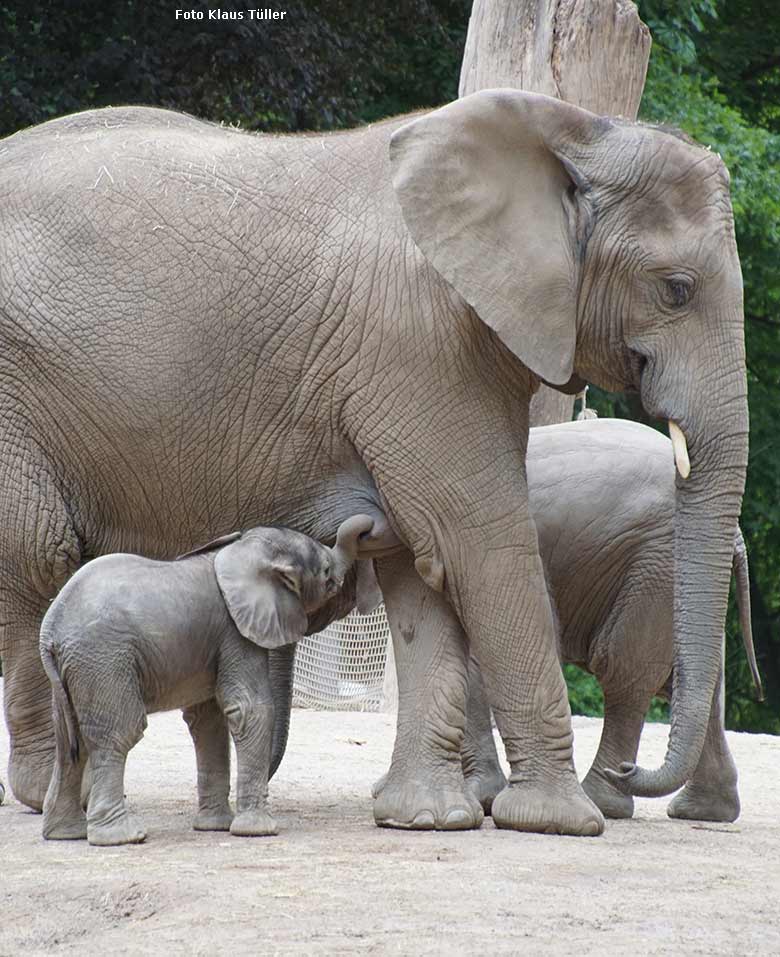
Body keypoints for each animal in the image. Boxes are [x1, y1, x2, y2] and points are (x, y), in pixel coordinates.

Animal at [39, 516, 374, 844]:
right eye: (327, 573)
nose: (369, 529)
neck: (241, 551)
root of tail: (51, 630)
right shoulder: (234, 632)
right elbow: (249, 709)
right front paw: (258, 831)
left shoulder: (213, 642)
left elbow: (208, 720)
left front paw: (215, 827)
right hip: (105, 659)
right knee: (119, 733)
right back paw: (123, 836)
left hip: (77, 669)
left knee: (69, 742)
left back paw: (66, 834)